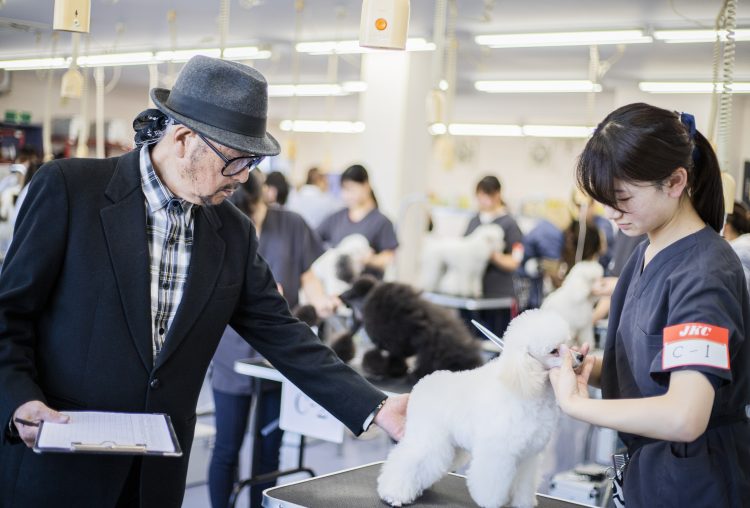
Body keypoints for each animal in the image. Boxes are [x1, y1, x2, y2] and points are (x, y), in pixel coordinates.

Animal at [376, 310, 580, 508]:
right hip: (429, 438)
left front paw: (523, 503)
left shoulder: (528, 455)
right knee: (407, 461)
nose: (580, 357)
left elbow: (524, 483)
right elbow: (492, 482)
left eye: (567, 343)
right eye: (554, 351)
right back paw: (393, 494)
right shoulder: (498, 451)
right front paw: (492, 502)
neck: (525, 386)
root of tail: (422, 384)